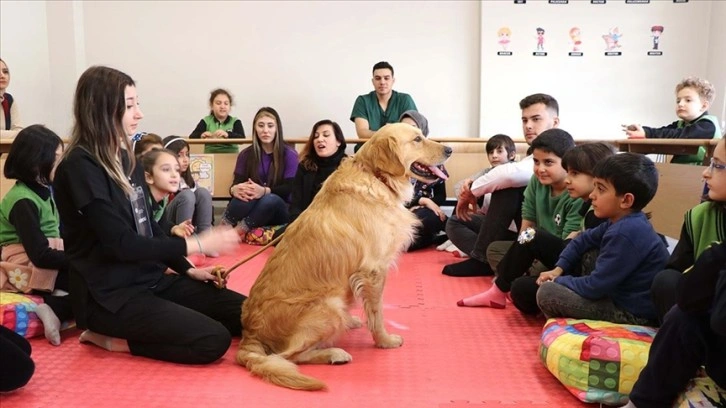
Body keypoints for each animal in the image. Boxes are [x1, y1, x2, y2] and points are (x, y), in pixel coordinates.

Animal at [239, 123, 452, 388]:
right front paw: (385, 341)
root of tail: (249, 334)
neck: (377, 177)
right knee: (288, 356)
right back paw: (335, 353)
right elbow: (377, 313)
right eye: (417, 139)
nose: (450, 149)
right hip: (329, 305)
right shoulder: (373, 270)